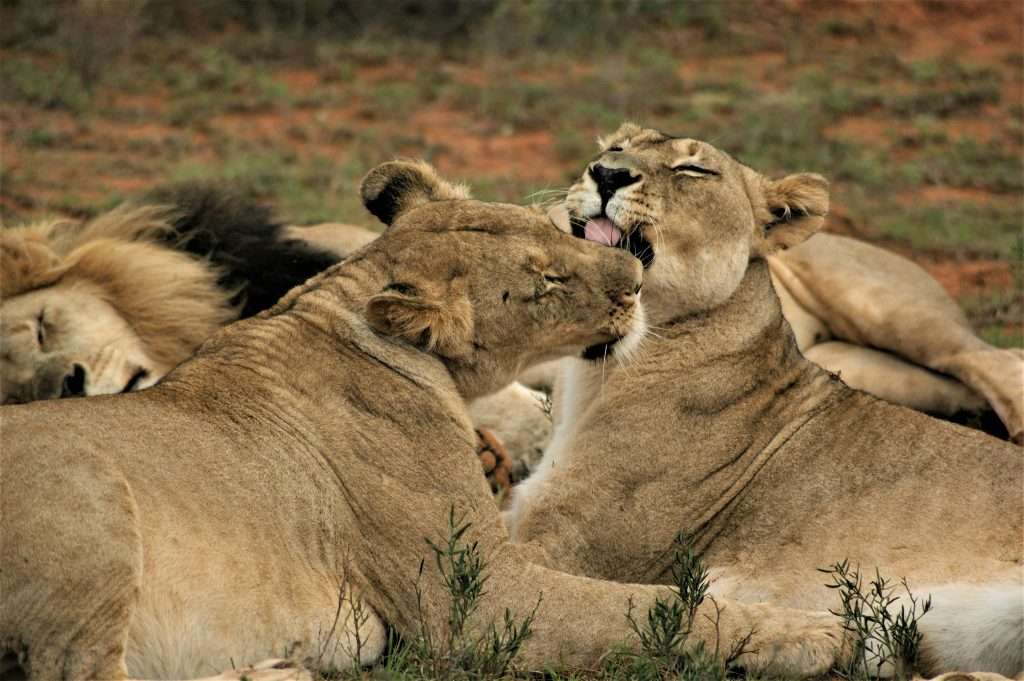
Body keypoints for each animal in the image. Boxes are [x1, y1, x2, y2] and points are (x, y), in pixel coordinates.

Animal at [0, 160, 847, 680]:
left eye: (555, 230)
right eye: (544, 280)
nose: (636, 277)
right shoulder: (478, 599)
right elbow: (652, 606)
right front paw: (816, 634)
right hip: (91, 503)